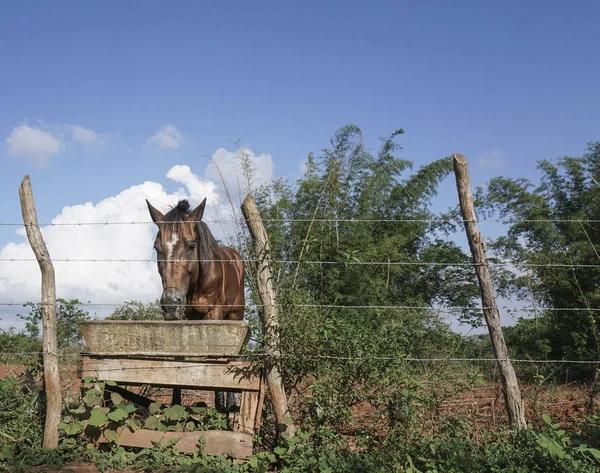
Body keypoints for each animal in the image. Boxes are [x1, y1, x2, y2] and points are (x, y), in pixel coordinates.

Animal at [146, 197, 245, 408]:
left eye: (191, 245)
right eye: (157, 248)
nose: (171, 303)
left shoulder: (214, 315)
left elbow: (214, 356)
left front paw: (220, 404)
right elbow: (178, 357)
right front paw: (176, 403)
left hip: (235, 315)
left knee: (230, 357)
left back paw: (230, 403)